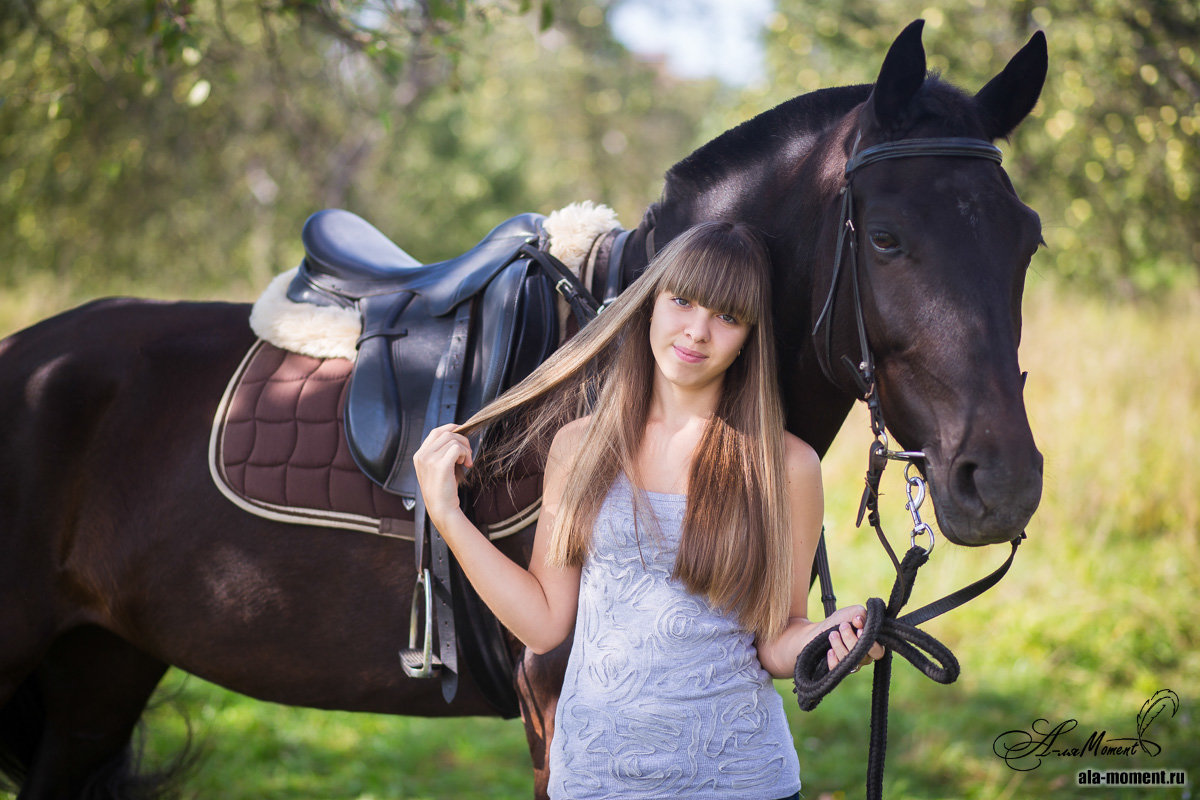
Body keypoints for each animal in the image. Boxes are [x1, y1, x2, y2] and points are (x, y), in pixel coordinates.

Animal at [0, 20, 1041, 800]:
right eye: (890, 238)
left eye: (1026, 239)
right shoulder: (555, 699)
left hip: (101, 672)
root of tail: (32, 356)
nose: (1004, 484)